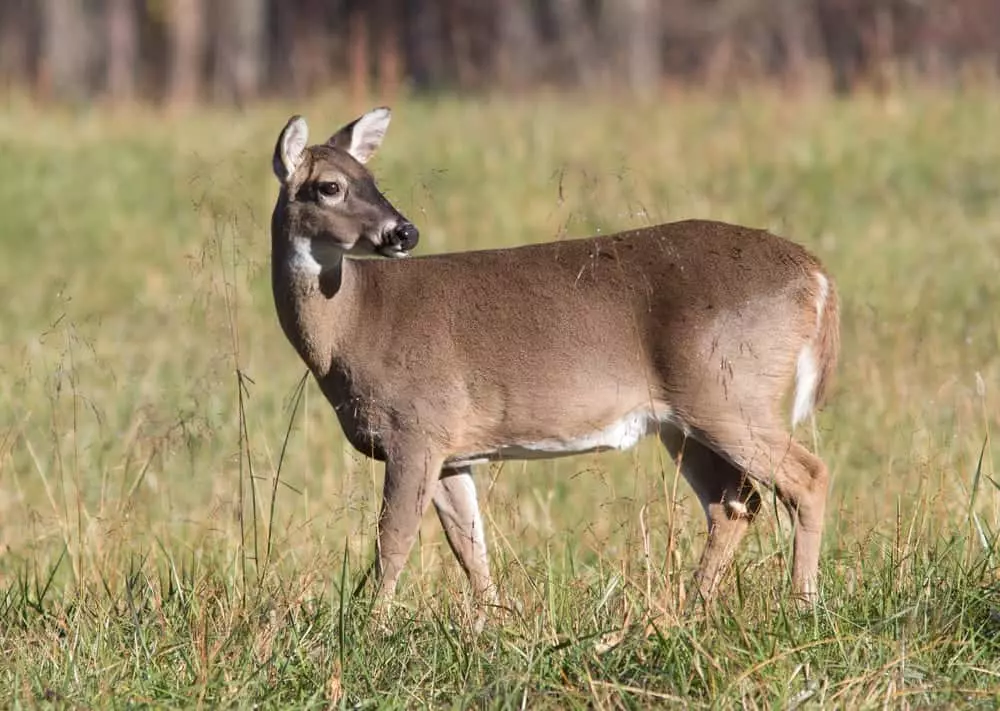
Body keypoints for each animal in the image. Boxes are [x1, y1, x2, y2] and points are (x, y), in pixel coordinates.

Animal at [269, 107, 840, 616]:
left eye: (370, 179)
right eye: (331, 186)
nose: (403, 232)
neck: (354, 326)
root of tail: (816, 274)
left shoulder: (415, 428)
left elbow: (394, 540)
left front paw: (367, 629)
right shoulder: (451, 450)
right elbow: (470, 547)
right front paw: (493, 626)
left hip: (729, 393)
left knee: (807, 477)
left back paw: (802, 604)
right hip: (684, 419)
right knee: (734, 501)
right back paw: (690, 610)